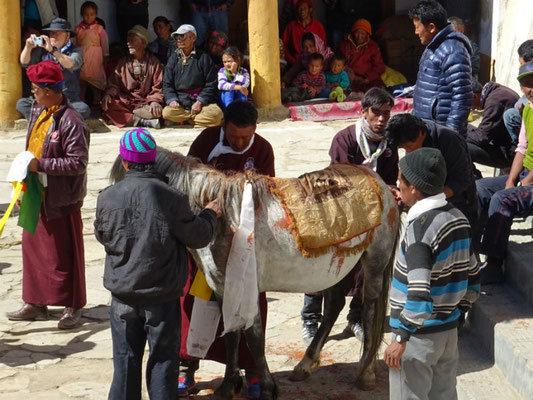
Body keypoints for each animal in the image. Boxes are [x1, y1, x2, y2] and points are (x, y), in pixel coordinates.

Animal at [109, 148, 400, 398]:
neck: (222, 220)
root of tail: (381, 183)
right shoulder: (225, 289)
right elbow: (232, 336)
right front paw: (228, 386)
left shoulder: (246, 287)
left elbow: (254, 338)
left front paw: (268, 387)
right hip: (336, 266)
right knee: (333, 307)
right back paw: (305, 365)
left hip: (374, 263)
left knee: (370, 310)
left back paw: (365, 373)